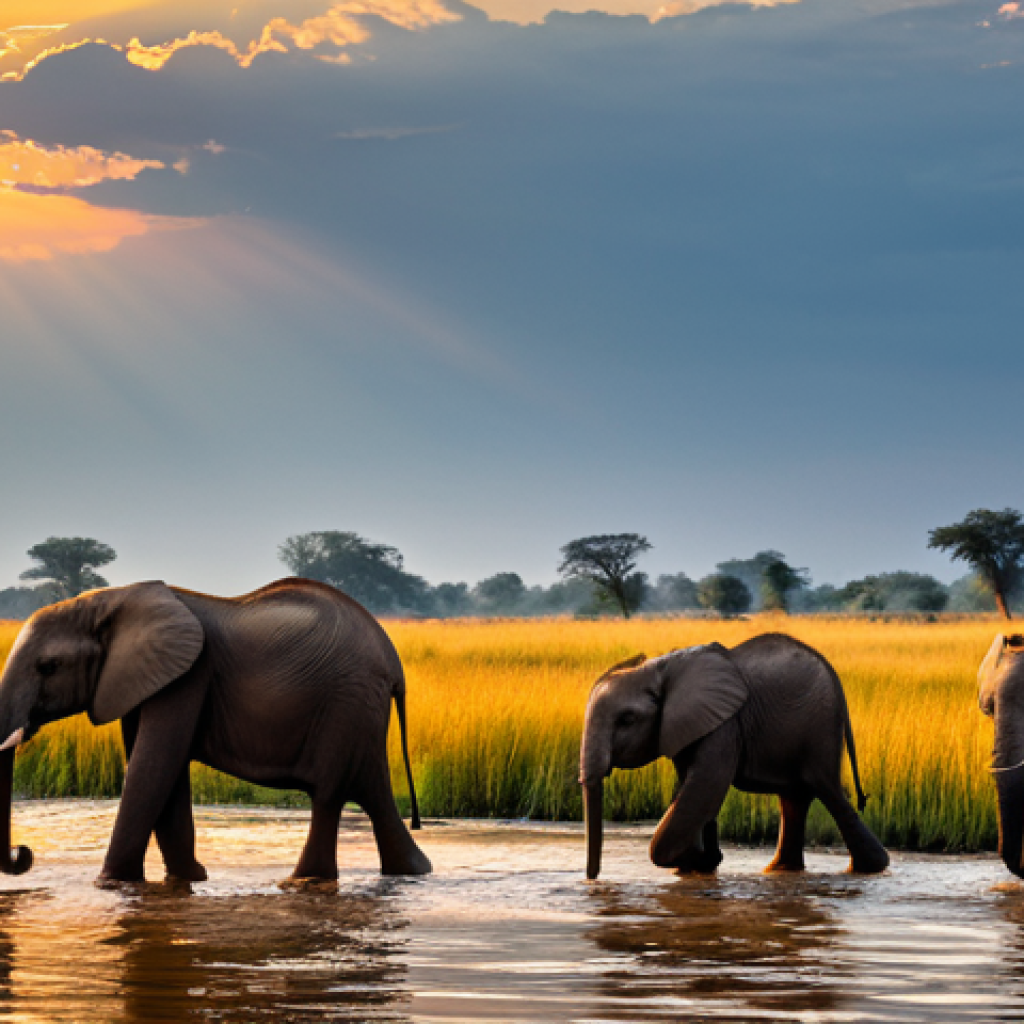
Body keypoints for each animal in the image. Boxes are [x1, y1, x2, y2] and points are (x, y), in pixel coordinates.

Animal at [0, 578, 431, 884]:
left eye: (49, 667)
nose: (24, 853)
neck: (111, 599)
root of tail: (394, 663)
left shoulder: (189, 676)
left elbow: (153, 768)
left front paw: (112, 884)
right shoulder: (144, 680)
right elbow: (164, 773)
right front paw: (187, 879)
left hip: (347, 704)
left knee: (328, 796)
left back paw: (300, 882)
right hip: (362, 711)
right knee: (374, 795)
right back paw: (413, 871)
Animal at [579, 633, 889, 879]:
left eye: (627, 720)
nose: (592, 880)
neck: (658, 666)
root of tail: (834, 676)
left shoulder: (725, 724)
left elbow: (706, 784)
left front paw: (699, 860)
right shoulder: (686, 725)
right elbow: (695, 789)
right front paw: (700, 864)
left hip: (818, 728)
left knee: (827, 790)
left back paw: (870, 869)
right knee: (795, 799)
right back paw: (780, 871)